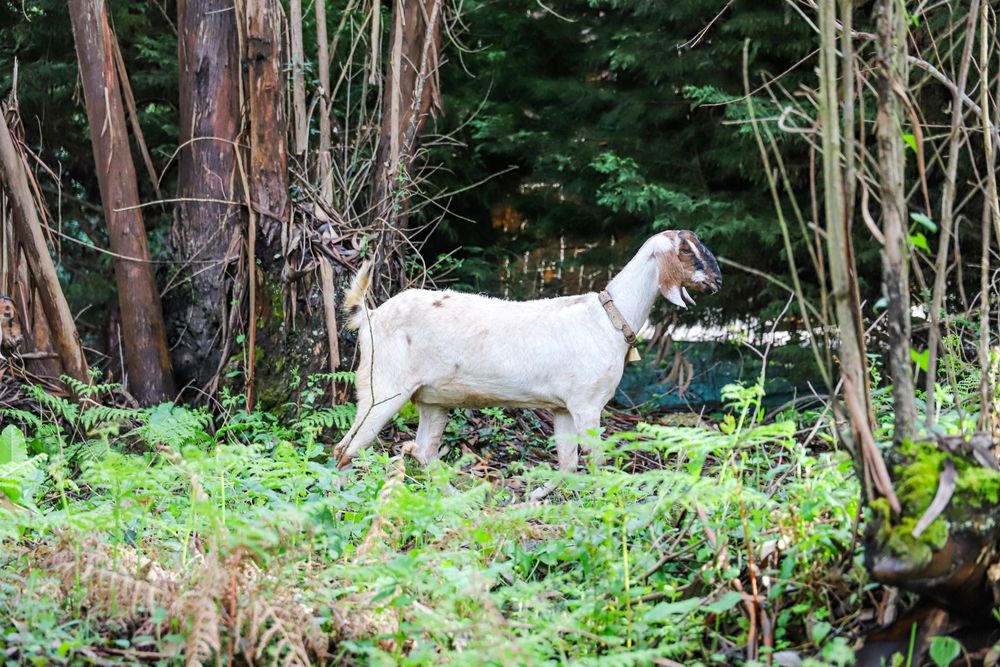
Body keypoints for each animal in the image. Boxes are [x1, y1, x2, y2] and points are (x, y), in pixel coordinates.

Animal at [333, 230, 721, 499]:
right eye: (687, 250)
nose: (717, 281)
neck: (608, 318)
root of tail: (369, 317)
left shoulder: (563, 407)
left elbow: (568, 464)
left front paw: (532, 499)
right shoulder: (587, 404)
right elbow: (596, 462)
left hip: (431, 400)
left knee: (422, 452)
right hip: (382, 390)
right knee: (347, 448)